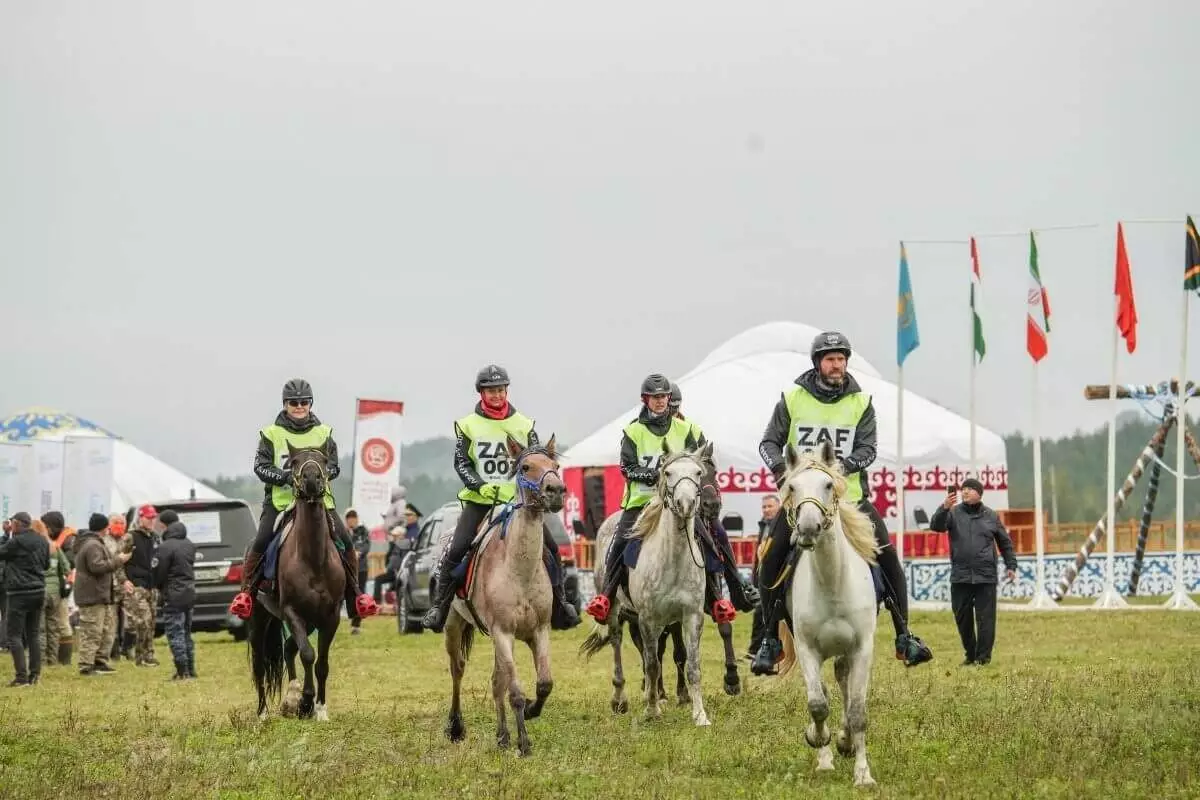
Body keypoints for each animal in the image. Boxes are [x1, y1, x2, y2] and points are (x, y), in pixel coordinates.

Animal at [247, 441, 345, 724]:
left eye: (324, 461)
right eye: (295, 462)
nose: (311, 479)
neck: (313, 558)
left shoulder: (330, 616)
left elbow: (321, 663)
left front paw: (319, 708)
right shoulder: (292, 612)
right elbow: (308, 654)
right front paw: (305, 701)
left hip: (310, 620)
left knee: (289, 648)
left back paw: (291, 697)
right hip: (260, 619)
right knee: (261, 664)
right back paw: (264, 713)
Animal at [446, 438, 566, 758]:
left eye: (555, 465)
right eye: (526, 467)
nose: (556, 491)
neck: (519, 571)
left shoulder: (539, 631)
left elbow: (544, 683)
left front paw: (533, 711)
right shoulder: (503, 632)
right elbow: (515, 692)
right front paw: (524, 743)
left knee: (496, 680)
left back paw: (502, 736)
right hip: (454, 625)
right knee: (458, 669)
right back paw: (456, 727)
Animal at [578, 441, 710, 729]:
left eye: (697, 473)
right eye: (668, 473)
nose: (686, 504)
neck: (673, 560)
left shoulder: (690, 616)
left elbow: (692, 666)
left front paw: (700, 715)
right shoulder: (648, 618)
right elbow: (651, 665)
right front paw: (651, 711)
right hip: (617, 611)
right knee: (618, 644)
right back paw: (621, 699)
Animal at [777, 441, 883, 786]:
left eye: (827, 484)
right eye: (792, 487)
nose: (808, 528)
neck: (833, 581)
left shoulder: (862, 648)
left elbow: (858, 711)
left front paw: (863, 774)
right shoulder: (807, 648)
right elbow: (817, 704)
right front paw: (818, 740)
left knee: (845, 684)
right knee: (826, 690)